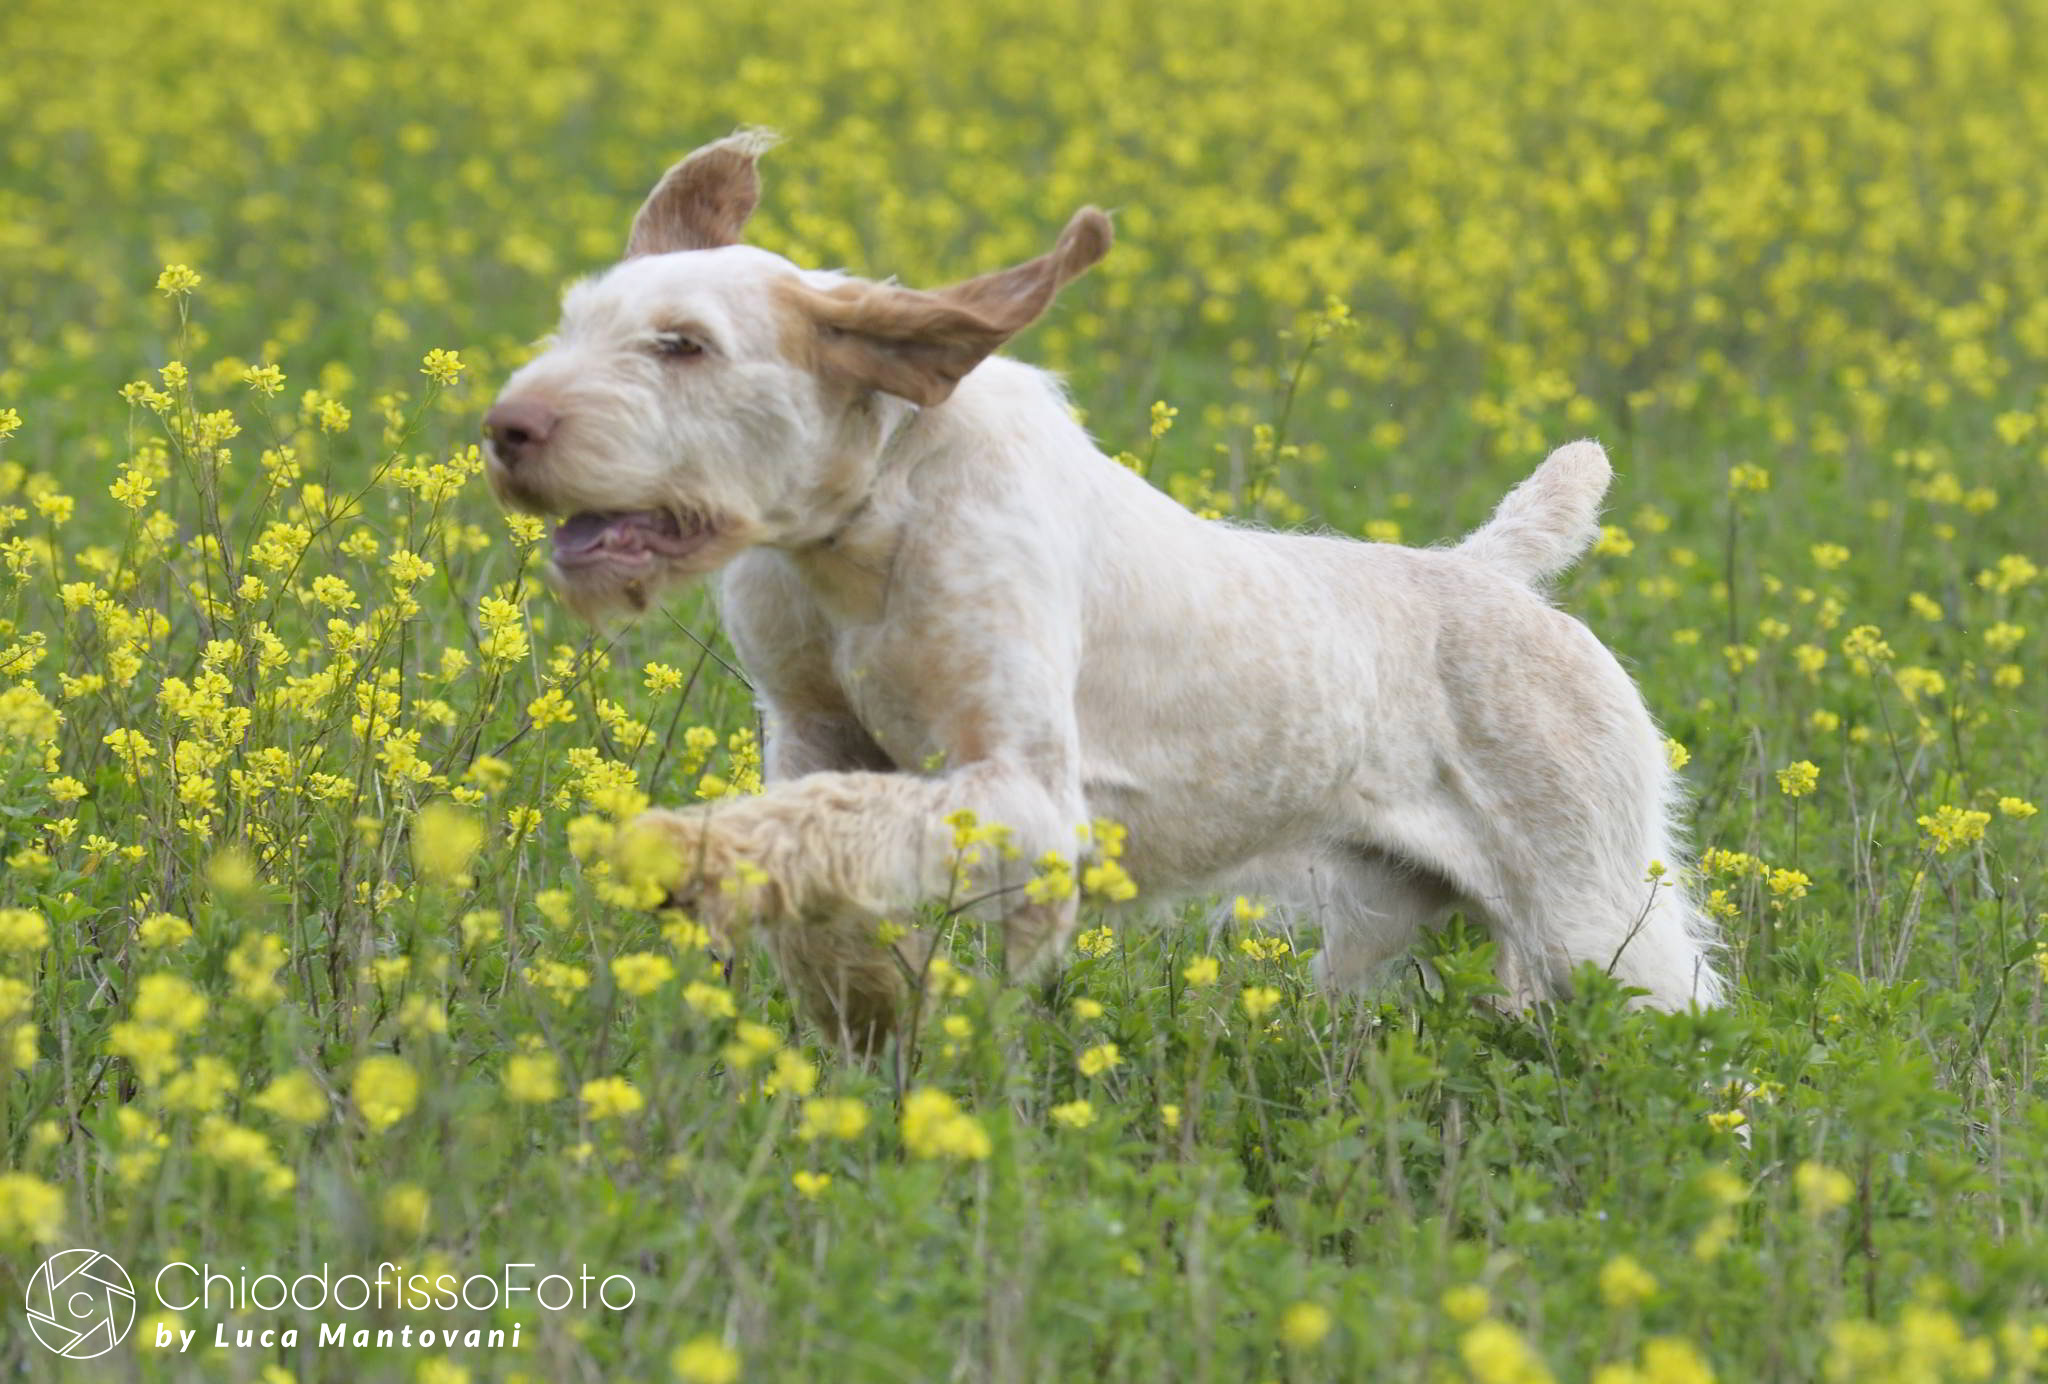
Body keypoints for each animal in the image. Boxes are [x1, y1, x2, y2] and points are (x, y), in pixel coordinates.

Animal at [483, 131, 1725, 1050]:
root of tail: (1481, 572)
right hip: (1384, 930)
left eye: (683, 345)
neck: (870, 519)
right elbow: (814, 848)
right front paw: (867, 1020)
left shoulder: (1029, 797)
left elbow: (824, 823)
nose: (506, 430)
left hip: (1601, 919)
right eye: (572, 322)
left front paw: (675, 852)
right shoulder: (809, 735)